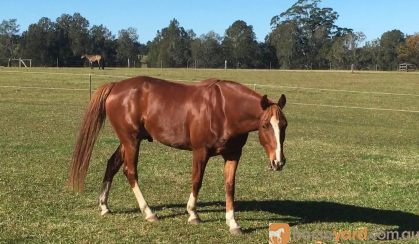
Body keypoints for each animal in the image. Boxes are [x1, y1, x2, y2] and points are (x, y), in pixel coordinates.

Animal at [69, 76, 288, 234]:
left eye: (284, 125)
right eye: (265, 125)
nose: (278, 161)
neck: (224, 109)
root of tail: (115, 87)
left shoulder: (233, 154)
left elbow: (230, 186)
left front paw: (232, 223)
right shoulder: (200, 151)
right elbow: (197, 181)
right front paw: (193, 214)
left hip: (129, 141)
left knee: (112, 164)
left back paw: (104, 206)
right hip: (131, 141)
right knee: (130, 172)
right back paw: (148, 212)